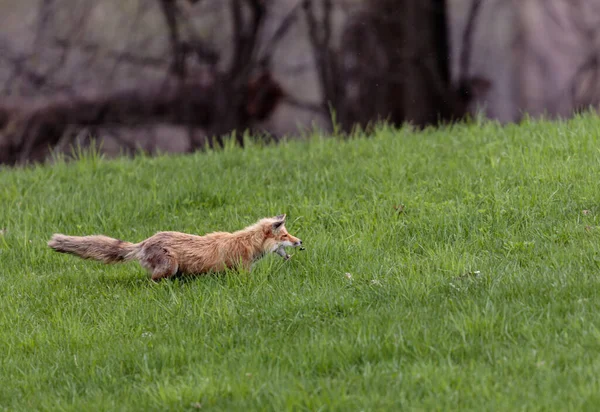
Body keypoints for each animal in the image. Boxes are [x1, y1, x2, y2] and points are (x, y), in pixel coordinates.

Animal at [49, 216, 304, 280]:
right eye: (285, 235)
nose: (300, 242)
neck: (247, 243)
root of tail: (144, 242)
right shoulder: (242, 271)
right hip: (169, 267)